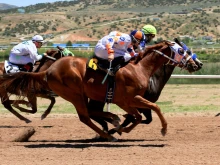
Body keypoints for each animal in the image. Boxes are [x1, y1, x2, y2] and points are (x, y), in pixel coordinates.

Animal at [0, 40, 199, 141]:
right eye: (183, 50)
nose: (196, 64)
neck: (139, 67)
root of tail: (48, 71)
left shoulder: (128, 100)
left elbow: (142, 114)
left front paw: (119, 126)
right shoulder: (128, 99)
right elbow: (145, 113)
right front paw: (162, 129)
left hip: (82, 95)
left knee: (90, 113)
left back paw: (110, 123)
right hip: (74, 94)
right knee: (85, 116)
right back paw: (107, 134)